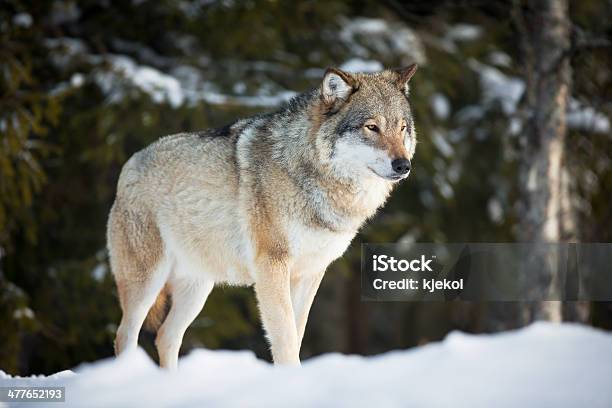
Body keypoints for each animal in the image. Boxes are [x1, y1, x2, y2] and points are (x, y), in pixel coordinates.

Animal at [107, 64, 418, 370]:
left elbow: (297, 334)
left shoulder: (310, 272)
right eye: (372, 127)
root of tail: (129, 164)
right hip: (147, 281)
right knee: (125, 336)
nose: (403, 165)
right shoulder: (272, 266)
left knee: (165, 337)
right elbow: (285, 340)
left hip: (197, 289)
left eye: (402, 128)